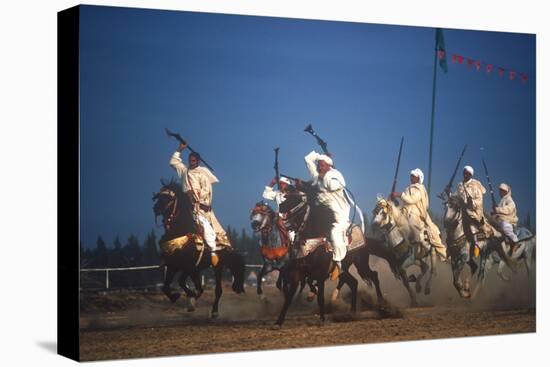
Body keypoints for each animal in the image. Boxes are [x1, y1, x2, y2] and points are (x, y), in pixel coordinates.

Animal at [152, 180, 245, 318]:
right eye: (159, 196)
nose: (155, 209)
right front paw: (178, 297)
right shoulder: (173, 266)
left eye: (169, 198)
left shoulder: (189, 267)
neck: (178, 233)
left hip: (217, 266)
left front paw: (191, 298)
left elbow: (183, 283)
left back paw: (214, 311)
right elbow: (166, 287)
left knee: (218, 290)